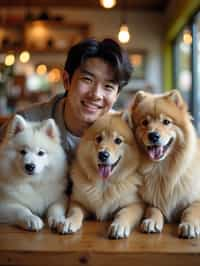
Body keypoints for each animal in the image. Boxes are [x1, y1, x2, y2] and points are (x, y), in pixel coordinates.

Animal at [130, 90, 200, 238]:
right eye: (145, 122)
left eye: (166, 122)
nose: (153, 135)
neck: (162, 168)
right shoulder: (150, 200)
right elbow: (154, 209)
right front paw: (152, 221)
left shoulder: (196, 199)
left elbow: (191, 209)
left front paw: (189, 224)